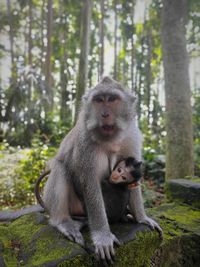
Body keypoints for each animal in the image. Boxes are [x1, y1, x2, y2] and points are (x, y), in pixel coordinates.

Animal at [42, 77, 161, 262]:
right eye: (98, 100)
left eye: (111, 99)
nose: (104, 114)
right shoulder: (86, 143)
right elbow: (90, 183)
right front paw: (103, 237)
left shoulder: (132, 137)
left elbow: (135, 179)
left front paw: (142, 217)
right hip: (76, 206)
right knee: (61, 168)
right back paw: (63, 222)